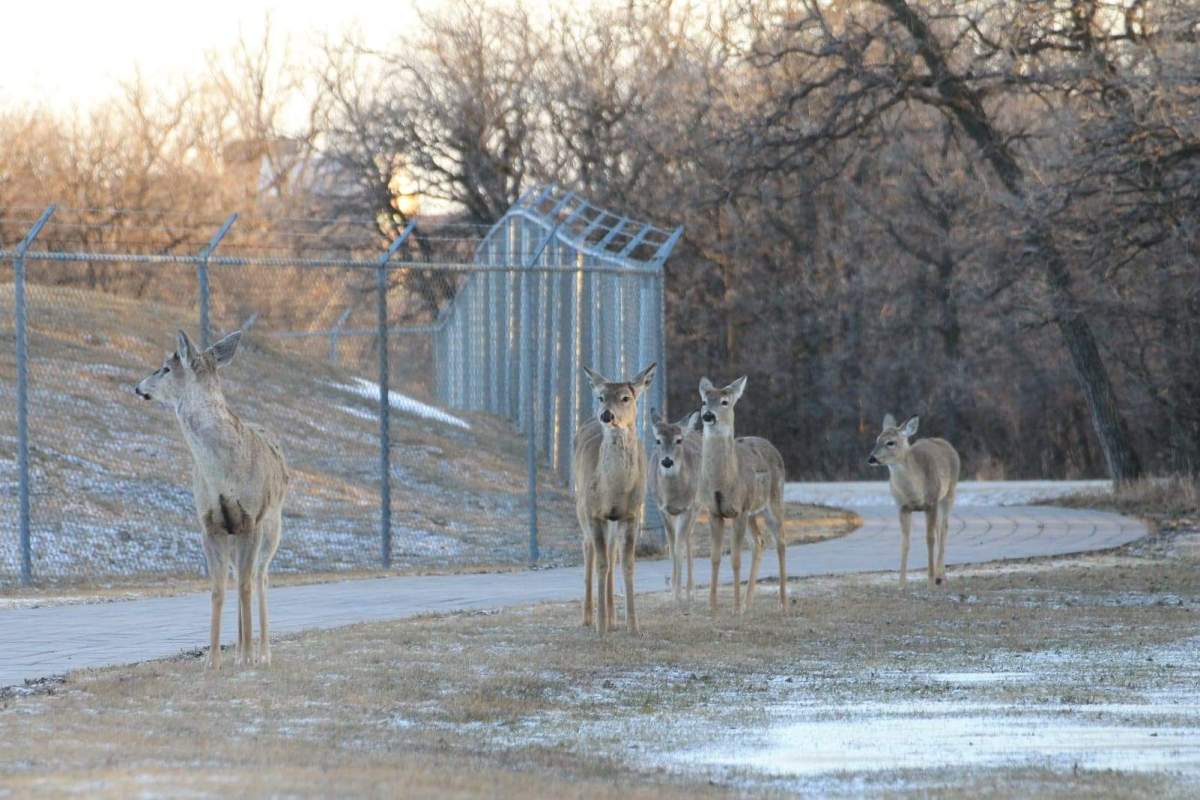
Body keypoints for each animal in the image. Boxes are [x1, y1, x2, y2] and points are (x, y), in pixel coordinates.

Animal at [135, 330, 289, 669]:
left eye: (166, 367)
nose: (138, 387)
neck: (224, 474)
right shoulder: (210, 525)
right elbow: (218, 590)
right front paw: (213, 660)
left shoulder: (250, 519)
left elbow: (245, 586)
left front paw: (247, 658)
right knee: (241, 577)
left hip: (273, 525)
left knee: (260, 577)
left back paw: (263, 653)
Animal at [573, 363, 656, 635]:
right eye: (601, 397)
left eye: (625, 397)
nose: (606, 415)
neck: (614, 491)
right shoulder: (594, 512)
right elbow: (601, 564)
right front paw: (600, 627)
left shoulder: (632, 514)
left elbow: (627, 563)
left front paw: (633, 625)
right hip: (580, 504)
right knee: (588, 547)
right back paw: (589, 617)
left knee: (610, 551)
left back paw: (612, 618)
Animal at [650, 409, 702, 607]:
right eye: (657, 440)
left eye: (678, 440)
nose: (666, 461)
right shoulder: (663, 510)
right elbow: (672, 548)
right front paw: (673, 592)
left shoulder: (688, 508)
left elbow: (679, 547)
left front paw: (679, 594)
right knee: (686, 539)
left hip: (699, 506)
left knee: (689, 539)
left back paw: (691, 591)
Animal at [697, 377, 787, 615]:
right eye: (704, 401)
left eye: (725, 401)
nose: (708, 415)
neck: (724, 481)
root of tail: (772, 446)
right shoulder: (714, 511)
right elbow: (715, 557)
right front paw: (713, 606)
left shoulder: (739, 510)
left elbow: (736, 559)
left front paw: (735, 608)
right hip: (753, 512)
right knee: (759, 542)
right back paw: (749, 603)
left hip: (773, 500)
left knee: (781, 540)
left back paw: (782, 603)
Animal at [867, 414, 961, 589]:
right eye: (877, 439)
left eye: (890, 442)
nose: (871, 458)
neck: (914, 492)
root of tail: (944, 442)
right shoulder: (902, 507)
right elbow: (905, 542)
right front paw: (901, 583)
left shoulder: (931, 503)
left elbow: (929, 539)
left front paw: (930, 581)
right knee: (939, 528)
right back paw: (940, 575)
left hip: (949, 492)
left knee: (944, 528)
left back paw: (940, 577)